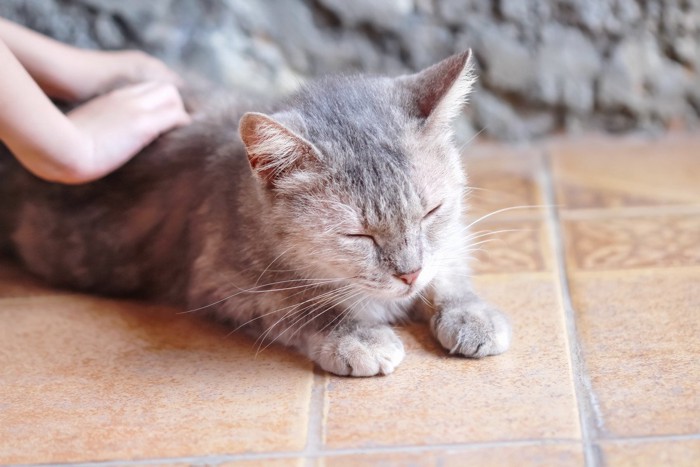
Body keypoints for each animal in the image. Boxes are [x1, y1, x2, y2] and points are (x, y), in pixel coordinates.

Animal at [1, 50, 516, 376]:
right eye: (358, 236)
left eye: (431, 211)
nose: (408, 274)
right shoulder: (222, 283)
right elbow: (303, 306)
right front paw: (357, 334)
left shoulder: (444, 246)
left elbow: (447, 272)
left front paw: (471, 312)